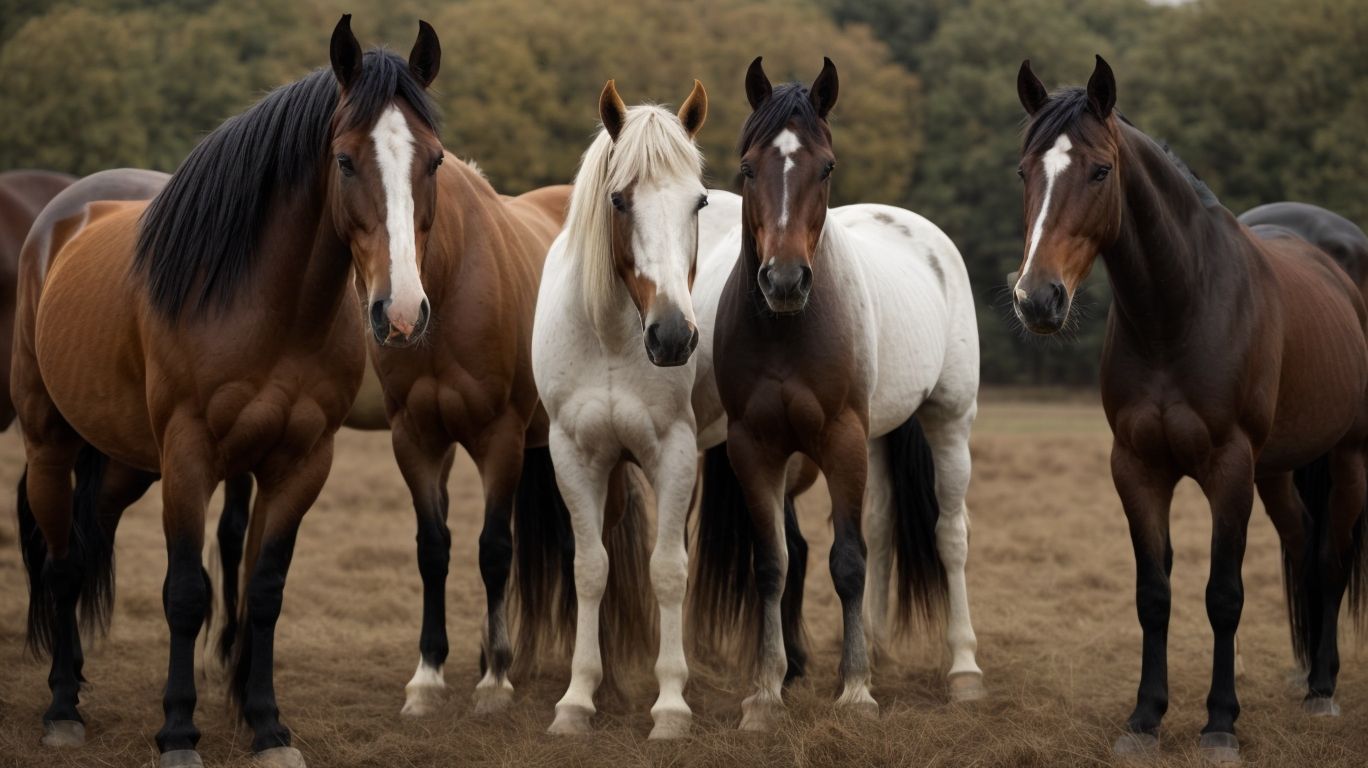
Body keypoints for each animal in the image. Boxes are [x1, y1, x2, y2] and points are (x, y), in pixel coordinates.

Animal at [12, 16, 443, 767]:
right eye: (345, 161)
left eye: (436, 162)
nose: (400, 313)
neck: (266, 307)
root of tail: (59, 220)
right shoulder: (189, 458)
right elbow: (188, 592)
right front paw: (179, 732)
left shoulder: (301, 461)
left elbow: (263, 591)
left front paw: (268, 727)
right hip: (48, 442)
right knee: (63, 563)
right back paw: (63, 706)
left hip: (126, 461)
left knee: (90, 538)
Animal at [530, 78, 711, 738]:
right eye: (619, 200)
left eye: (699, 203)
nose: (673, 337)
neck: (611, 337)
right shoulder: (576, 456)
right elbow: (591, 567)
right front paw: (578, 698)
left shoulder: (676, 455)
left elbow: (668, 570)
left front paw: (672, 703)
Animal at [691, 57, 985, 732]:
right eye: (748, 167)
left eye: (825, 167)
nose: (784, 280)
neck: (788, 330)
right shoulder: (755, 448)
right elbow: (772, 562)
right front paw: (765, 694)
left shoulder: (841, 439)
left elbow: (847, 561)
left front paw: (855, 692)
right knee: (876, 526)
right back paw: (872, 645)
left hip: (948, 420)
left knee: (949, 534)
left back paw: (964, 670)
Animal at [1013, 56, 1368, 762]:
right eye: (1023, 171)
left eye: (1100, 170)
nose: (1037, 299)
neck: (1179, 309)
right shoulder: (1137, 467)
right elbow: (1154, 594)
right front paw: (1144, 720)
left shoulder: (1228, 468)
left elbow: (1223, 595)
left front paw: (1220, 724)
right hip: (1278, 471)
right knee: (1302, 546)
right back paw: (1304, 676)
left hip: (1348, 458)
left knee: (1330, 557)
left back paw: (1323, 688)